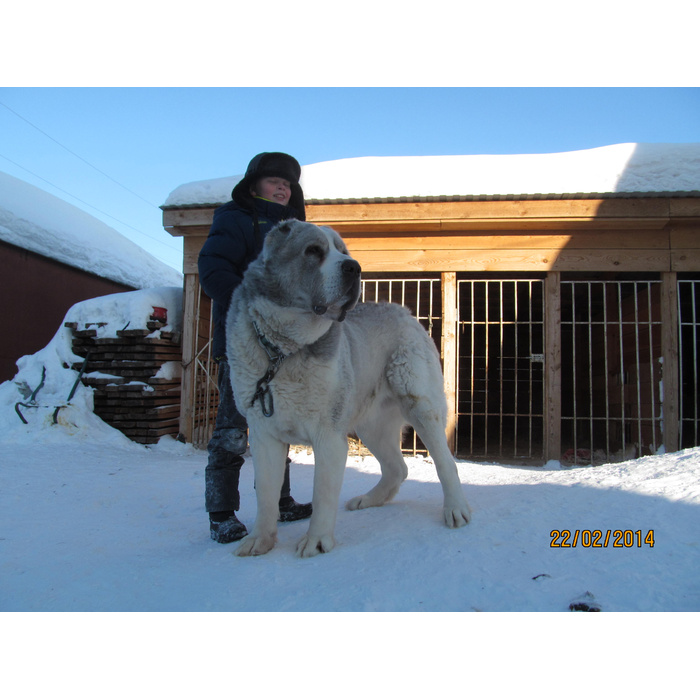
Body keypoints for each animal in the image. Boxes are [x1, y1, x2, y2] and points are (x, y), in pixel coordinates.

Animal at [228, 219, 470, 556]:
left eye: (343, 251)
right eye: (313, 251)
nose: (354, 267)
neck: (284, 350)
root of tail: (404, 311)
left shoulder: (328, 436)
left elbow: (322, 493)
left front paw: (316, 541)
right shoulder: (265, 436)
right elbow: (265, 492)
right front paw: (260, 540)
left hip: (421, 405)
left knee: (446, 463)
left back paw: (456, 509)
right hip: (371, 425)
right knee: (397, 468)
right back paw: (369, 500)